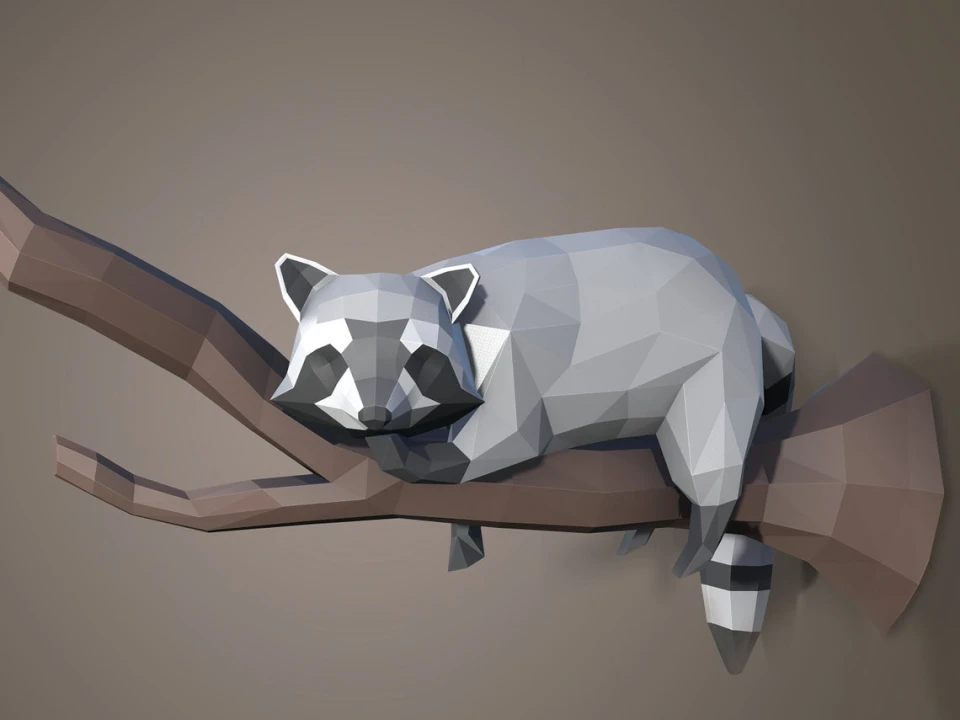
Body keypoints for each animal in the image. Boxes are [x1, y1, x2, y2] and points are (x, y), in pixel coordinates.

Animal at [270, 228, 795, 583]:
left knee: (710, 456)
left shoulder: (514, 364)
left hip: (717, 365)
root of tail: (740, 295)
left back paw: (701, 539)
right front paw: (464, 534)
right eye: (331, 358)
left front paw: (412, 455)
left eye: (417, 359)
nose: (375, 417)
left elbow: (502, 440)